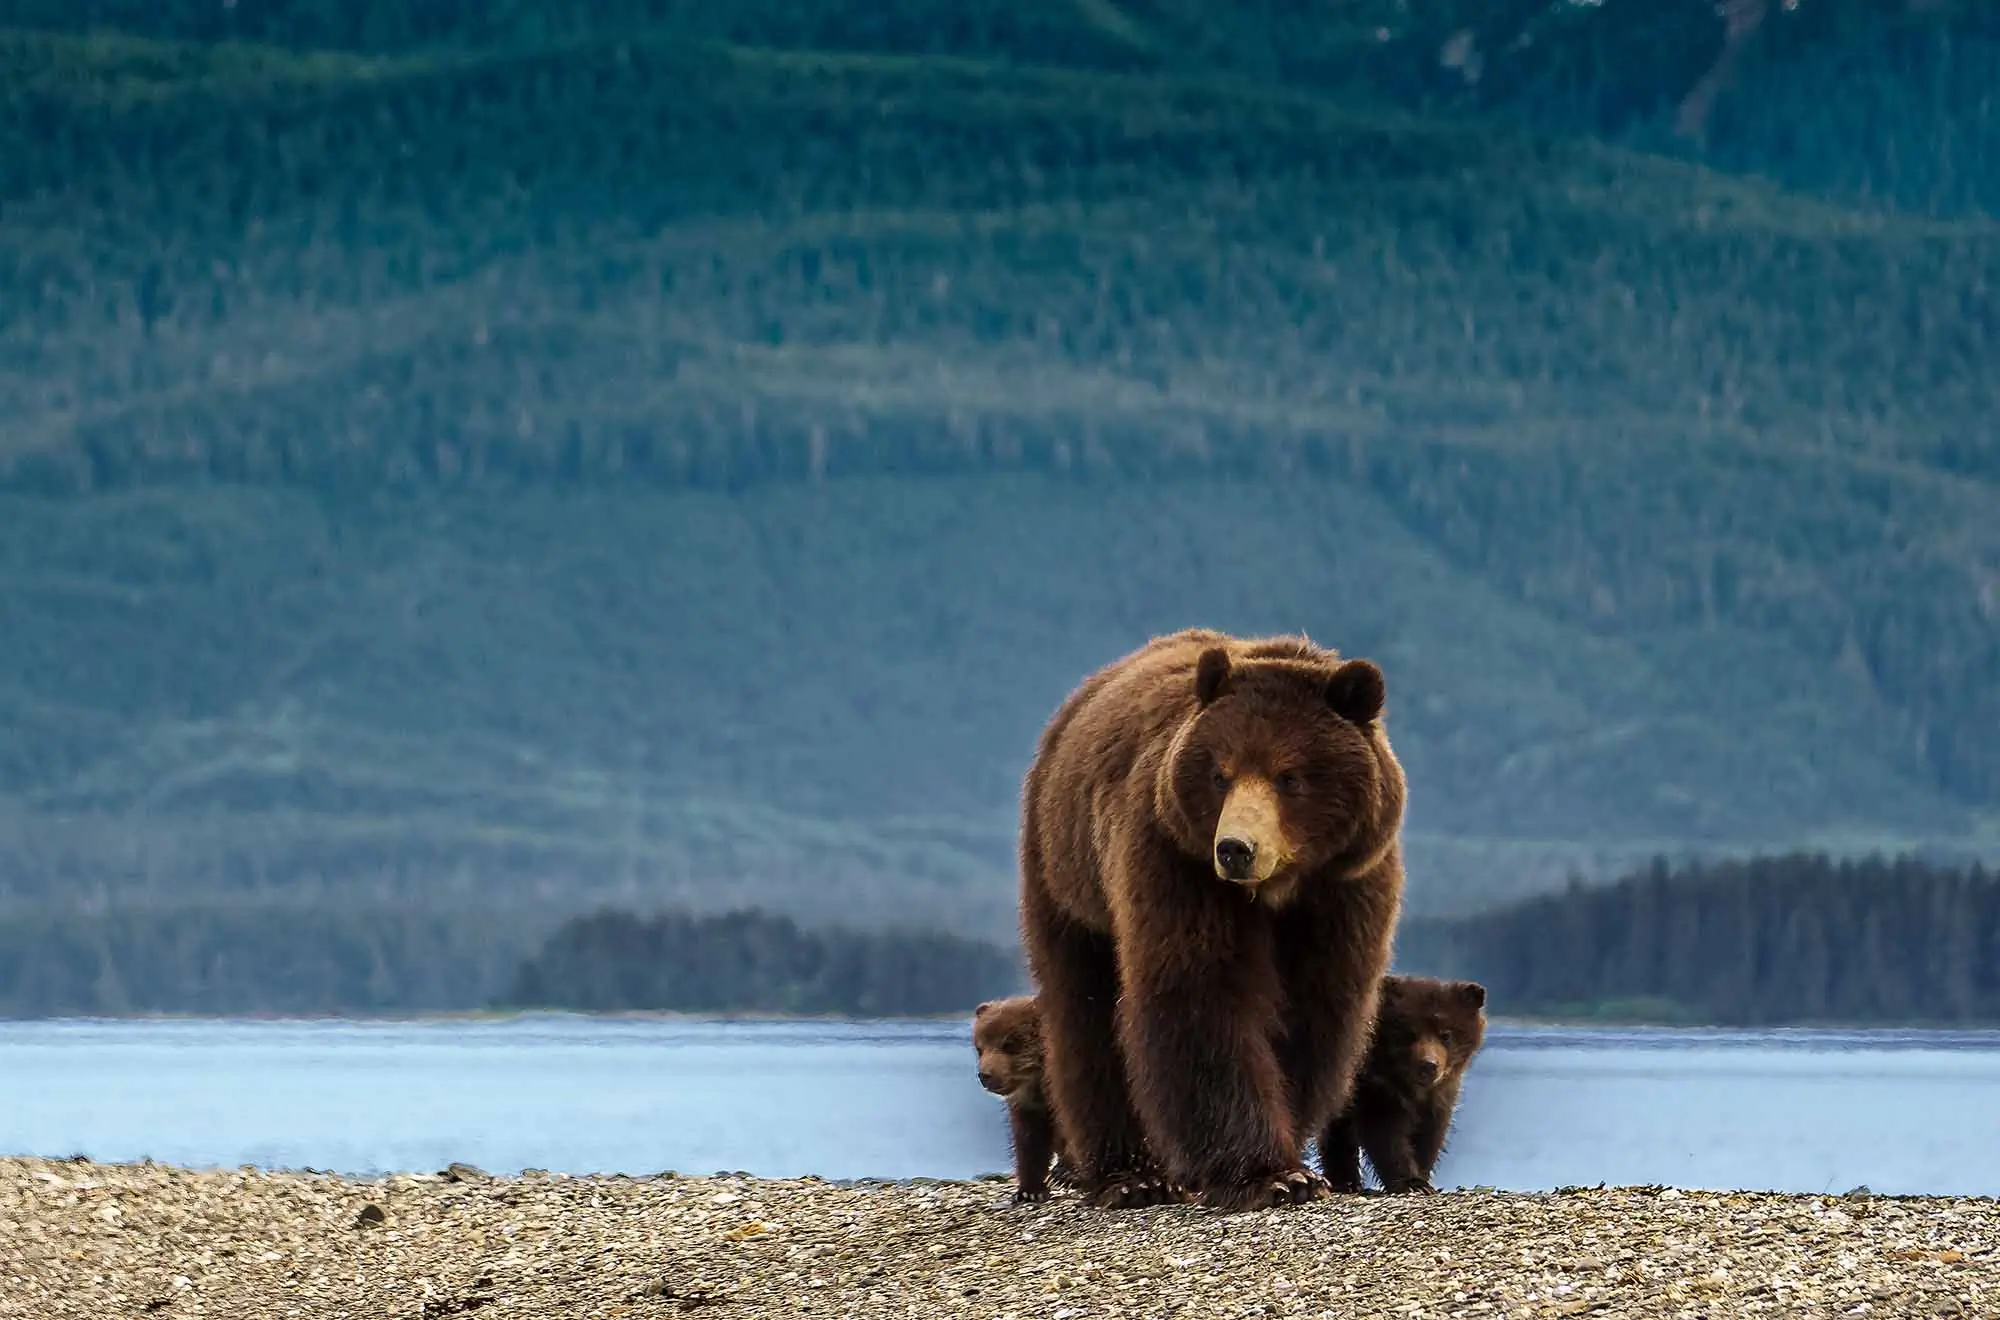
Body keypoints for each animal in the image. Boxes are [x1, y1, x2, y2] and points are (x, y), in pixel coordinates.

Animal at [1018, 627, 1408, 1212]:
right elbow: (1202, 992)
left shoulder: (1344, 889)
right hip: (1067, 875)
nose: (1235, 849)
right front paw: (1270, 1175)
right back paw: (1131, 1175)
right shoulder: (1176, 862)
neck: (1276, 890)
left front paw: (1292, 1155)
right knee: (1083, 1011)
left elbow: (1313, 1008)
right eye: (1221, 774)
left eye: (1289, 776)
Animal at [1319, 974, 1488, 1195]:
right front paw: (1411, 1182)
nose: (1428, 1065)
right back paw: (1345, 1181)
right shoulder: (1376, 1088)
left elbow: (1430, 1134)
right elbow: (1385, 1133)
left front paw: (1423, 1174)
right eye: (1409, 1033)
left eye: (1446, 1035)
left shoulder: (1440, 1095)